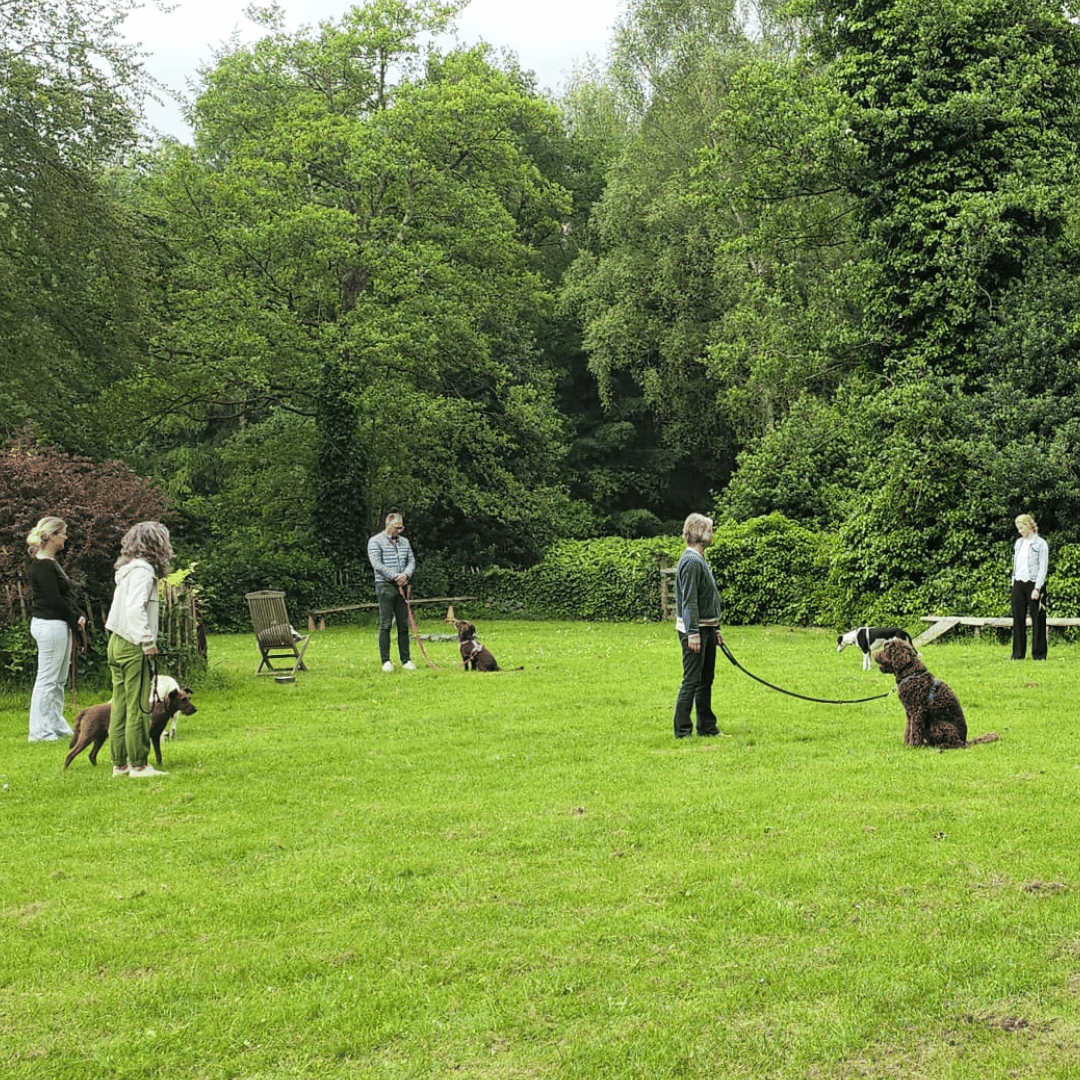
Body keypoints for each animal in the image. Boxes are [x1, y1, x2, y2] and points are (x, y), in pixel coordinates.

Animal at [63, 682, 198, 768]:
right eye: (183, 699)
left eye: (189, 698)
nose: (194, 709)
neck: (161, 708)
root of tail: (86, 710)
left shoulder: (155, 736)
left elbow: (158, 754)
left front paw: (160, 766)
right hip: (87, 737)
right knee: (71, 754)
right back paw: (65, 770)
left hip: (100, 738)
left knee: (91, 755)